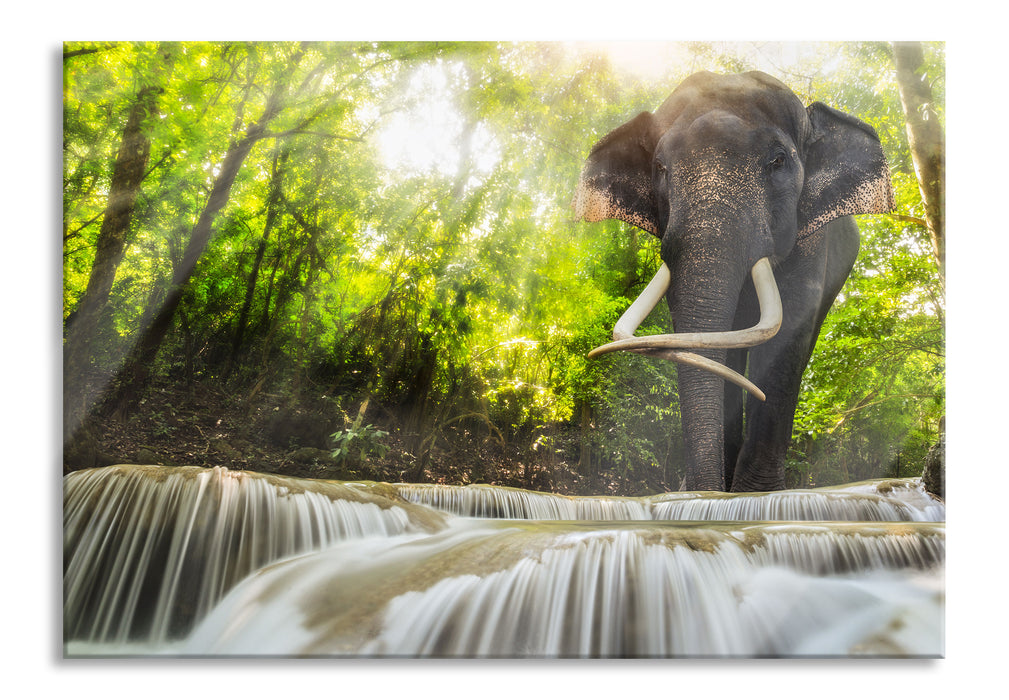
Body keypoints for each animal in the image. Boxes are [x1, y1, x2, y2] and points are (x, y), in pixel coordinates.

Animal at [573, 71, 894, 492]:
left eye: (778, 161)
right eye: (660, 168)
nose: (698, 490)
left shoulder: (810, 240)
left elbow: (788, 330)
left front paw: (755, 494)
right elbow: (708, 343)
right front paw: (713, 492)